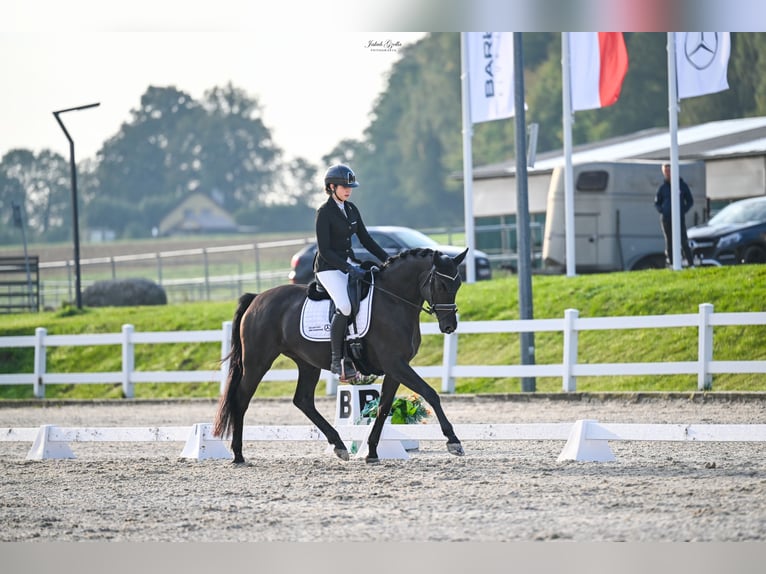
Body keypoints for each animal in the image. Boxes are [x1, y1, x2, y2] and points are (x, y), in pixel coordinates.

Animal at [213, 250, 472, 466]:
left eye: (458, 283)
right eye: (441, 283)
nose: (449, 326)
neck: (393, 300)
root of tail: (257, 298)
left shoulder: (395, 368)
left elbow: (383, 408)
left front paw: (372, 452)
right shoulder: (395, 364)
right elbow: (430, 393)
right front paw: (453, 441)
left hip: (306, 363)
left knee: (303, 400)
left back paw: (338, 445)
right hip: (257, 361)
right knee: (241, 399)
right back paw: (238, 455)